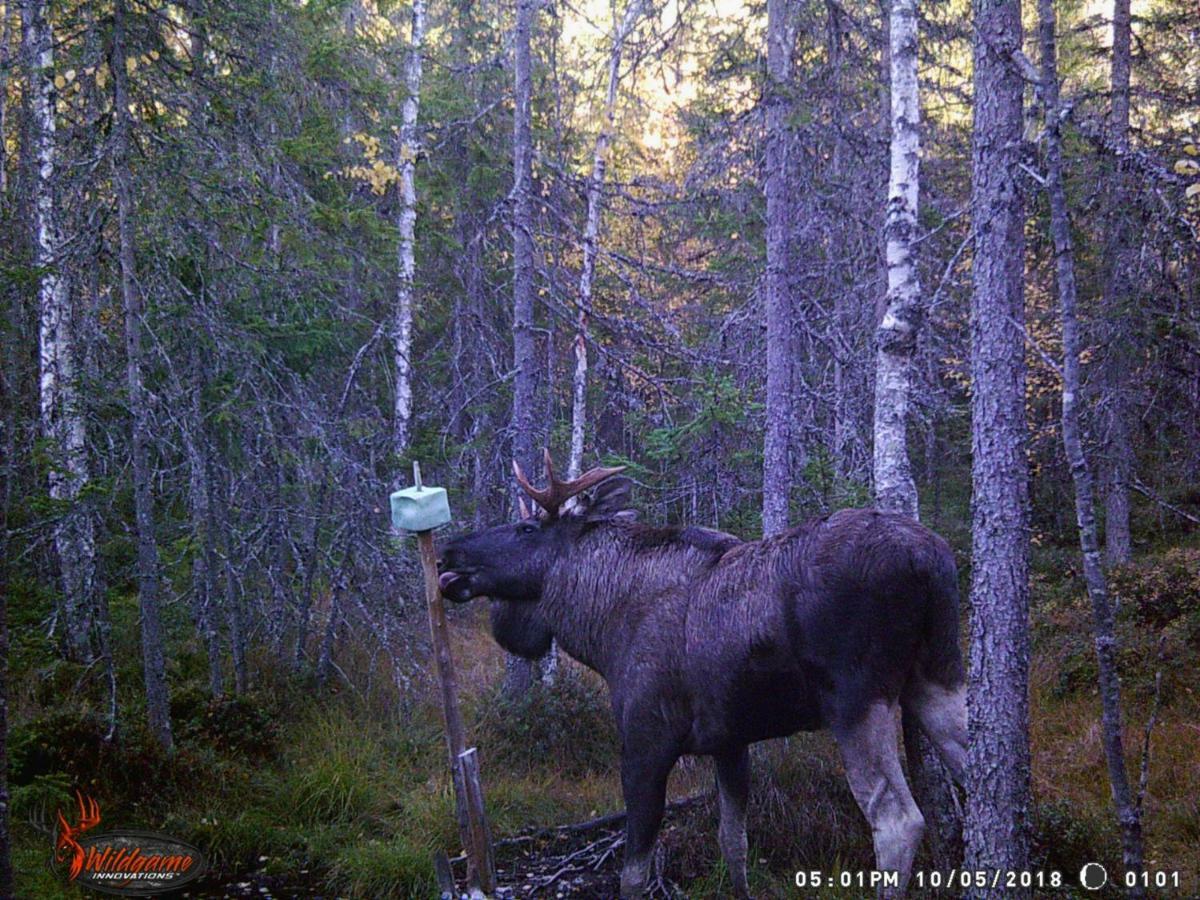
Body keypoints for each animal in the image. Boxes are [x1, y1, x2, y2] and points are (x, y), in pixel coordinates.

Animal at [439, 453, 964, 897]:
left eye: (526, 526)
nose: (448, 553)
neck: (601, 626)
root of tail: (929, 560)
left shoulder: (646, 741)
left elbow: (634, 874)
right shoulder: (729, 741)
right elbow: (734, 844)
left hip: (855, 698)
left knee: (897, 821)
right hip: (938, 674)